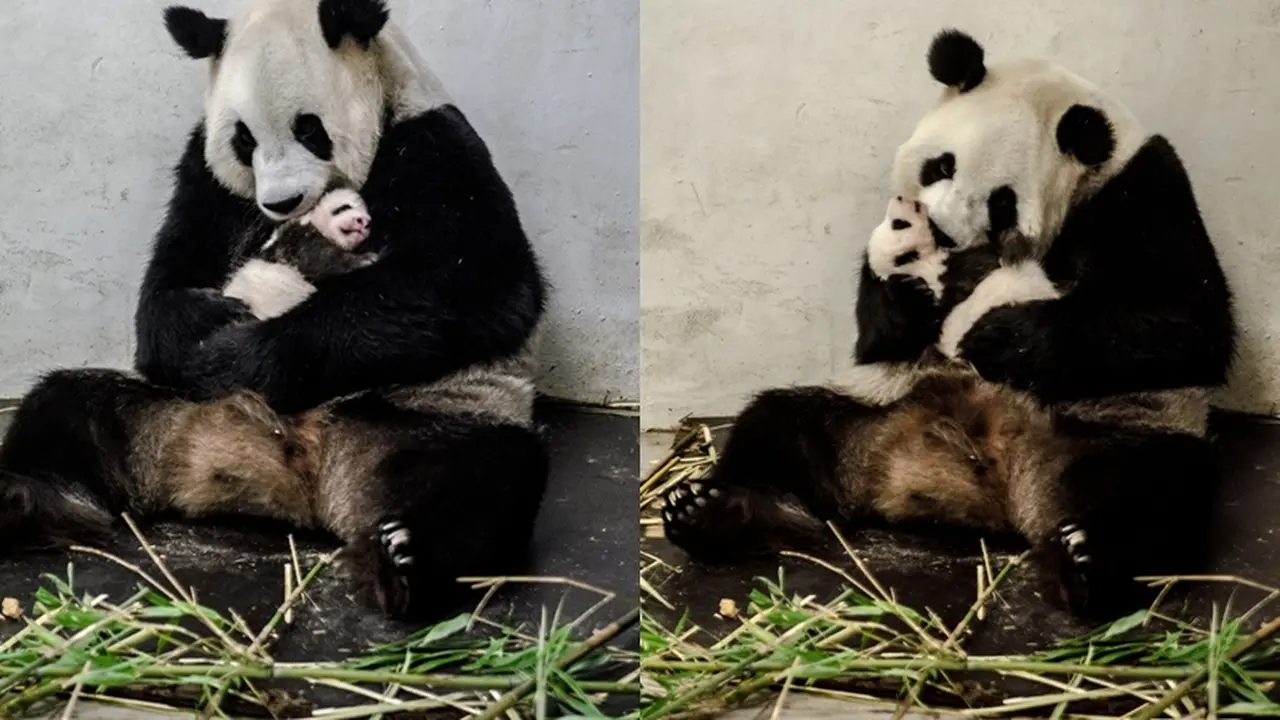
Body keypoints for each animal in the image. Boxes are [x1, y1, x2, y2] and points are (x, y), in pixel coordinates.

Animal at [0, 0, 549, 621]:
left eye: (309, 128)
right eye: (243, 139)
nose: (281, 202)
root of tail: (299, 478)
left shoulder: (434, 143)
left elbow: (484, 284)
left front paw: (239, 354)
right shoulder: (208, 176)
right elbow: (170, 280)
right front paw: (205, 322)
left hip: (431, 415)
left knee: (481, 482)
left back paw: (403, 561)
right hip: (161, 407)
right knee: (65, 408)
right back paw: (23, 499)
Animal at [661, 29, 1238, 619]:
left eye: (1003, 202)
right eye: (941, 166)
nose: (936, 229)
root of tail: (996, 492)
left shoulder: (1141, 190)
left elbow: (1186, 323)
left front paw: (999, 335)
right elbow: (875, 338)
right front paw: (909, 288)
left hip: (1113, 428)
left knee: (1153, 492)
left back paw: (1087, 563)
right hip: (871, 404)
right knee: (778, 423)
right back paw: (720, 513)